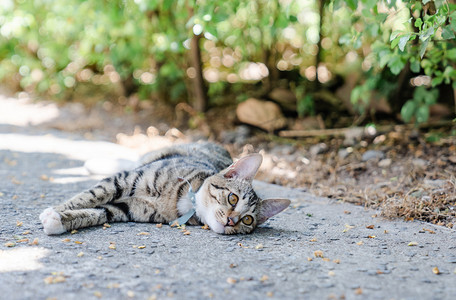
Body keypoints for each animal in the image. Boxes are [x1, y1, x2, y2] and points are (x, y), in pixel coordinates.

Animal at [38, 142, 288, 236]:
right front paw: (56, 209)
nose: (231, 221)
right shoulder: (123, 180)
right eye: (233, 199)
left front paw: (59, 220)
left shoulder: (126, 209)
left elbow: (98, 212)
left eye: (247, 220)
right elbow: (89, 196)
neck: (186, 202)